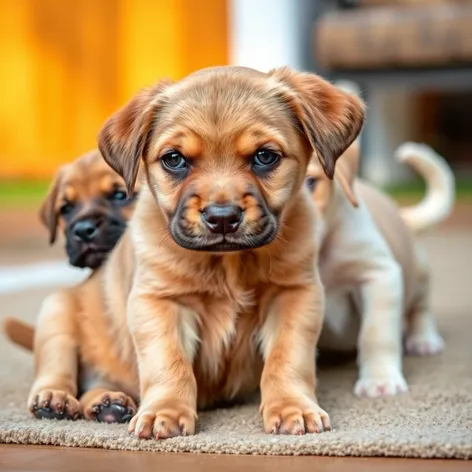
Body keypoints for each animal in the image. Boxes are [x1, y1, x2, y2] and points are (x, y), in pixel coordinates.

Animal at [306, 142, 454, 396]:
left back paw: (423, 340)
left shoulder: (379, 275)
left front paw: (380, 380)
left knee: (421, 309)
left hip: (418, 274)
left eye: (311, 182)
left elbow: (376, 334)